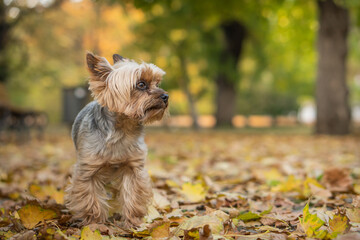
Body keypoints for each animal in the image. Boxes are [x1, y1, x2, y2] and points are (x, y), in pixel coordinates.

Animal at [65, 52, 169, 227]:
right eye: (141, 84)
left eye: (157, 82)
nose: (166, 96)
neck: (122, 129)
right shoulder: (88, 169)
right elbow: (90, 197)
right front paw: (94, 223)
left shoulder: (133, 168)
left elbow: (133, 194)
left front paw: (133, 222)